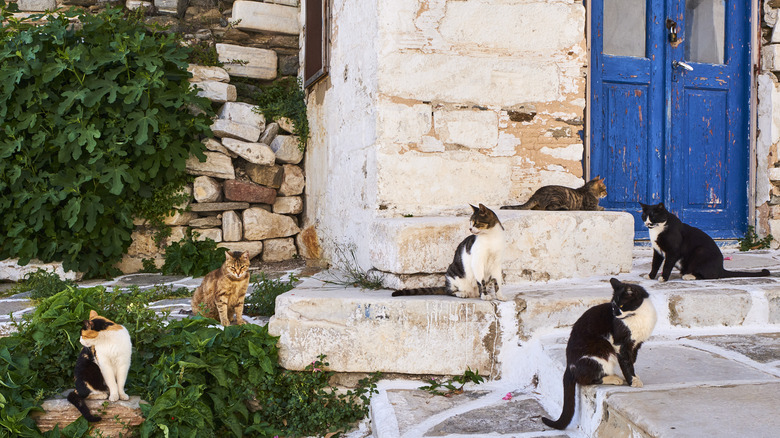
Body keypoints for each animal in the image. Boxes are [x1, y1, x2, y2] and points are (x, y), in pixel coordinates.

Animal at [540, 278, 656, 430]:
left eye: (622, 305)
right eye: (613, 306)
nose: (615, 314)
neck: (638, 315)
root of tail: (569, 365)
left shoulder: (637, 344)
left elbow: (632, 361)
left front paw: (634, 377)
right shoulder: (620, 344)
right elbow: (626, 363)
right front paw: (633, 381)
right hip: (599, 354)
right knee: (586, 379)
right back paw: (614, 379)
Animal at [640, 202, 772, 280]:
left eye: (653, 216)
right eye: (644, 216)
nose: (647, 223)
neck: (657, 229)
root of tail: (721, 268)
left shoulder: (673, 251)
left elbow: (667, 265)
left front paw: (663, 278)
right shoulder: (657, 251)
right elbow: (655, 264)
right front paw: (650, 276)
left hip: (700, 251)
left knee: (710, 276)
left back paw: (689, 276)